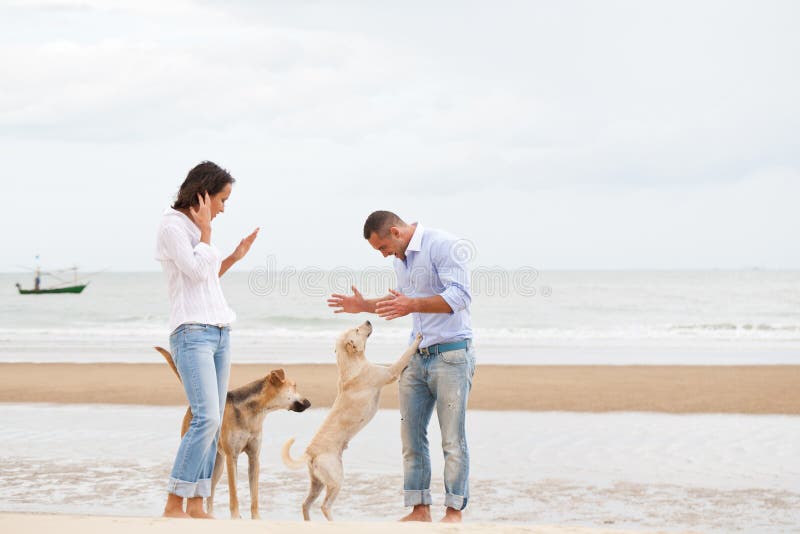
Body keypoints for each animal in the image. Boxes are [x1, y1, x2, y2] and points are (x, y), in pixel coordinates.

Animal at [155, 348, 310, 520]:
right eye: (294, 386)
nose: (309, 403)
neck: (254, 412)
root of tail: (193, 407)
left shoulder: (254, 457)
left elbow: (254, 495)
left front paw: (256, 518)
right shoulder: (232, 457)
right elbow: (234, 493)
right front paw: (236, 517)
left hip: (217, 464)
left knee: (210, 492)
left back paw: (209, 514)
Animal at [282, 322, 422, 524]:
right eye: (357, 330)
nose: (368, 321)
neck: (352, 363)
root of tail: (310, 453)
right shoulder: (391, 372)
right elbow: (405, 355)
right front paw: (418, 338)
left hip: (317, 483)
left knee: (305, 504)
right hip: (336, 479)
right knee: (324, 506)